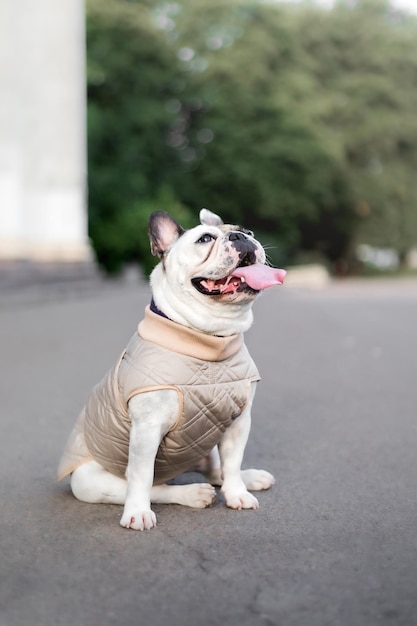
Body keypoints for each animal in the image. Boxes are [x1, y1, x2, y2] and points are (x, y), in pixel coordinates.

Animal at [57, 208, 286, 528]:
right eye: (205, 239)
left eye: (248, 231)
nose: (241, 237)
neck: (208, 340)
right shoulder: (147, 429)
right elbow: (142, 477)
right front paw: (138, 513)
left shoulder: (238, 421)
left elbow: (233, 461)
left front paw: (238, 494)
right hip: (90, 482)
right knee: (154, 486)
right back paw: (192, 494)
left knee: (217, 470)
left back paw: (249, 478)